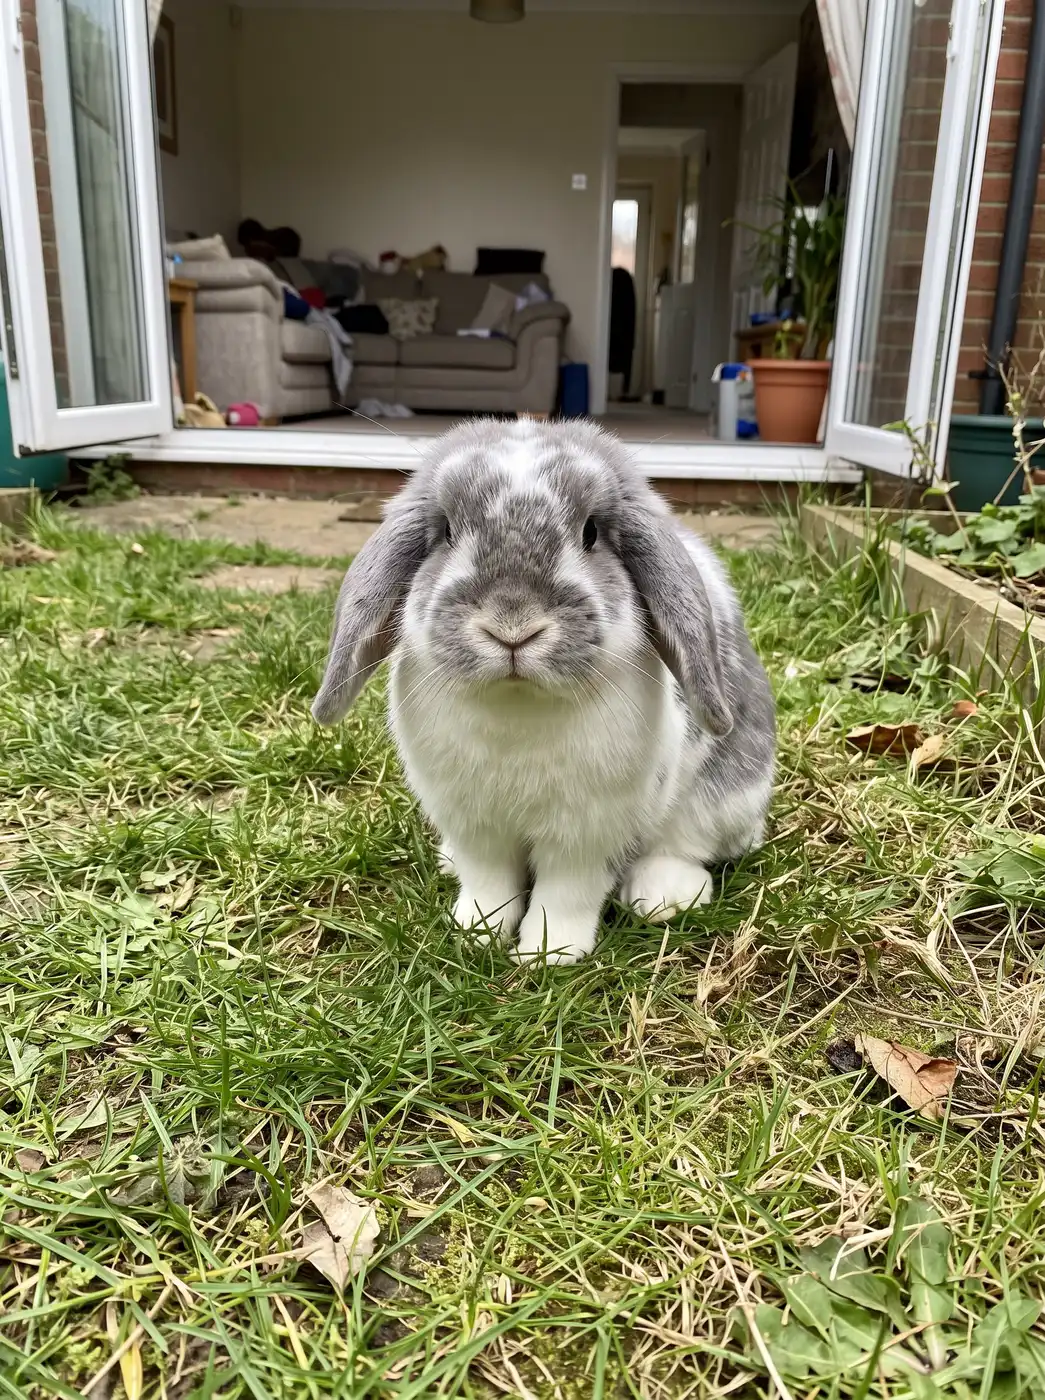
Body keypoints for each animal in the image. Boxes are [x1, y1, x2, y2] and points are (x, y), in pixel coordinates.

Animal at [313, 418, 775, 964]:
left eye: (591, 532)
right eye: (445, 530)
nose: (512, 627)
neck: (518, 707)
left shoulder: (584, 836)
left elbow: (565, 894)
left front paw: (548, 956)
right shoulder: (476, 826)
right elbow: (489, 883)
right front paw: (475, 933)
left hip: (726, 796)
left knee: (689, 845)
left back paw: (664, 896)